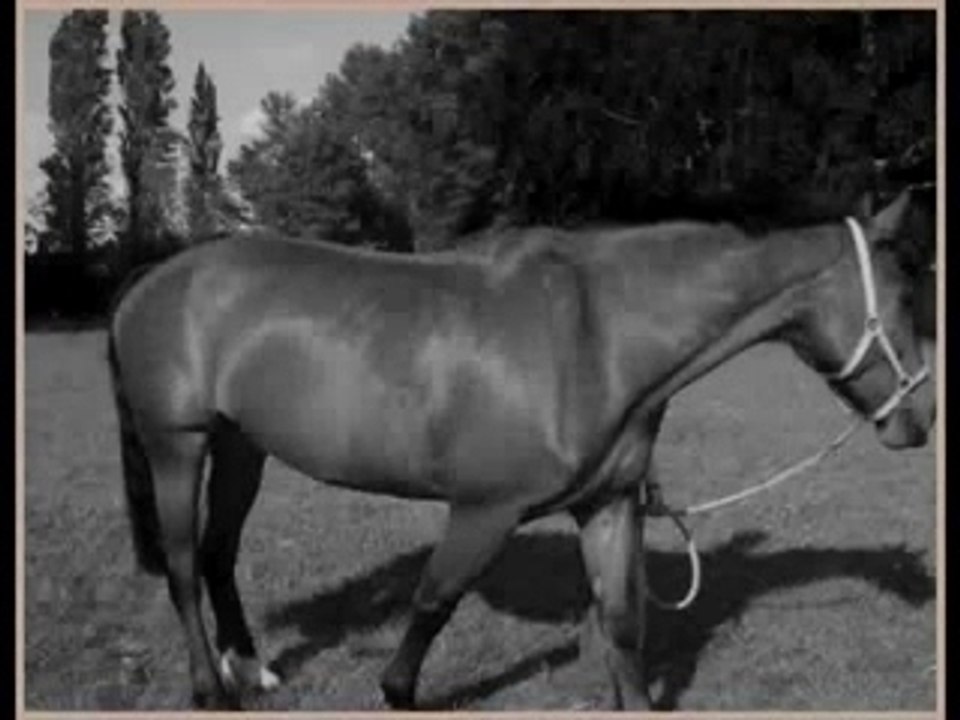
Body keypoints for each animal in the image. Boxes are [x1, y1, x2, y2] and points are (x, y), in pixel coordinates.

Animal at [107, 184, 935, 710]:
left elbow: (622, 629)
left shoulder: (608, 509)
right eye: (903, 298)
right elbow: (426, 621)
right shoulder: (484, 512)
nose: (920, 419)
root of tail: (153, 279)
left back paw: (252, 672)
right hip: (177, 447)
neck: (598, 337)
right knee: (183, 566)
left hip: (242, 448)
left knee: (218, 556)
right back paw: (210, 691)